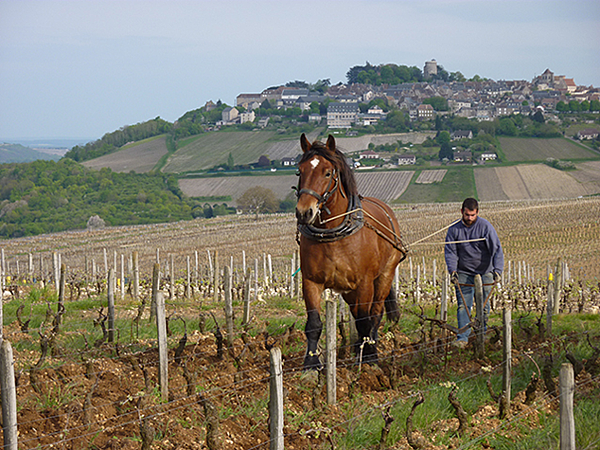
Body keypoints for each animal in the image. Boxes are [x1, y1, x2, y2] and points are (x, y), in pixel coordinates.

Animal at [296, 133, 408, 370]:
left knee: (374, 314)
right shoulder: (311, 281)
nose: (304, 212)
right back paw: (358, 348)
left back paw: (369, 348)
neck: (332, 234)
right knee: (358, 315)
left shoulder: (365, 282)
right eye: (300, 171)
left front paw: (369, 360)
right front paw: (310, 363)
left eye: (327, 172)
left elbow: (366, 320)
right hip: (348, 290)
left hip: (383, 277)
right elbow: (314, 323)